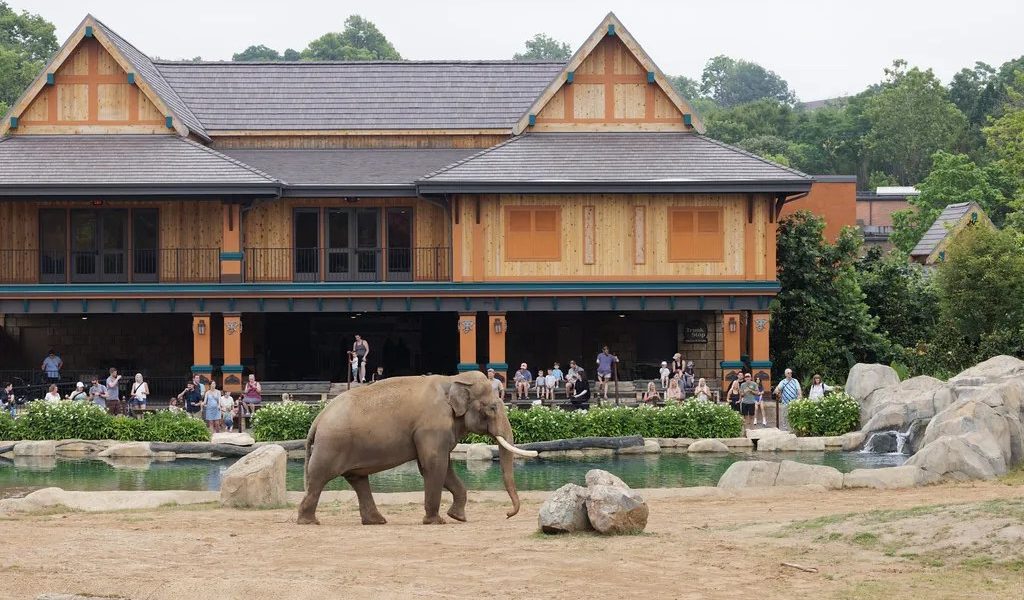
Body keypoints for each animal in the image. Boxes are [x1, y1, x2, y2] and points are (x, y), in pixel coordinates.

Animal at [297, 370, 538, 525]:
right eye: (493, 407)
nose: (508, 514)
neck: (452, 380)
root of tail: (318, 418)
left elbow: (442, 467)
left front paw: (457, 517)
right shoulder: (432, 427)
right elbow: (434, 465)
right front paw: (436, 521)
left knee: (358, 479)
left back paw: (377, 521)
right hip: (331, 446)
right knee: (319, 477)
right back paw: (309, 521)